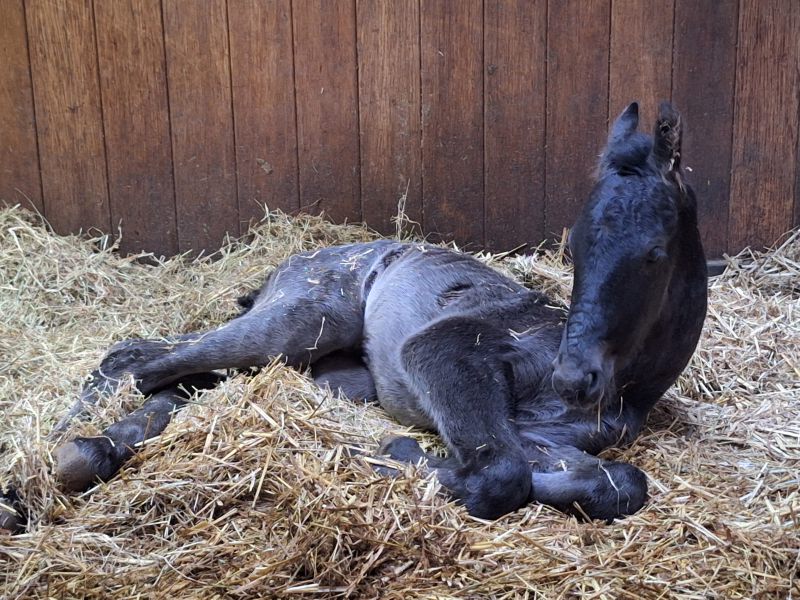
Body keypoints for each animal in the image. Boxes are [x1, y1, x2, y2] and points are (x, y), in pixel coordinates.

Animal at [43, 101, 708, 524]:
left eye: (653, 252)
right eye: (575, 246)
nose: (573, 376)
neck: (627, 389)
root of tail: (291, 263)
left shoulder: (551, 438)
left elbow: (615, 482)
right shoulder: (445, 350)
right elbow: (501, 476)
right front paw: (399, 453)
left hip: (327, 369)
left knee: (189, 383)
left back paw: (88, 454)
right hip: (301, 324)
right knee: (138, 361)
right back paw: (57, 454)